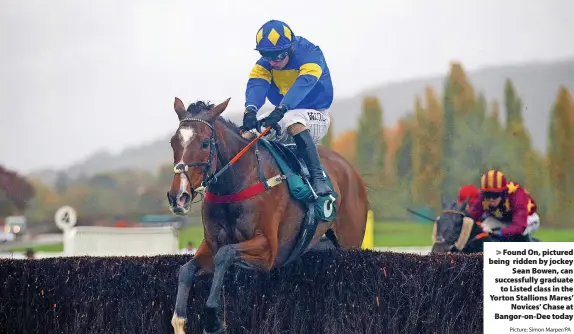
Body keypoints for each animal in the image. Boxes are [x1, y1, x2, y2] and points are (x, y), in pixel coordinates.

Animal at [166, 95, 368, 332]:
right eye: (173, 142)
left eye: (205, 143)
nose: (178, 197)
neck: (236, 183)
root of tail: (352, 171)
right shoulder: (211, 244)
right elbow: (186, 269)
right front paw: (179, 320)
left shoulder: (268, 250)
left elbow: (225, 255)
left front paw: (213, 317)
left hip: (351, 242)